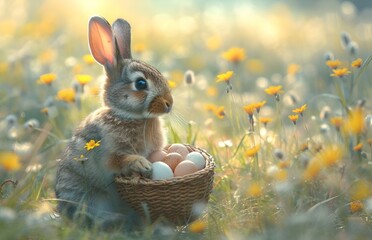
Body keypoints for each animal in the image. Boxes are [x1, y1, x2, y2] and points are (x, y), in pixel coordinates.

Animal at [54, 15, 174, 230]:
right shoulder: (107, 152)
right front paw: (142, 164)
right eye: (141, 84)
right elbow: (118, 160)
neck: (129, 116)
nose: (169, 104)